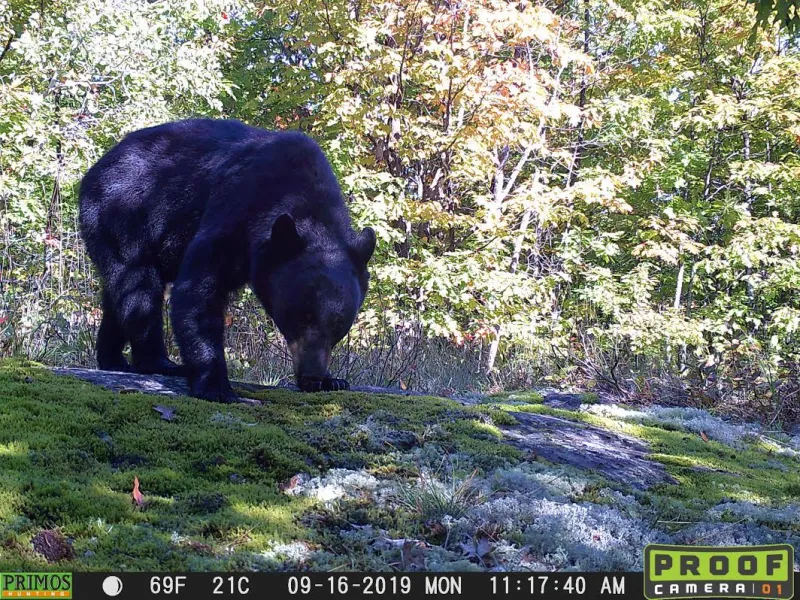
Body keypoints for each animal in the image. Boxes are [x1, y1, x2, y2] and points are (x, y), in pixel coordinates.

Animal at [79, 118, 376, 402]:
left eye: (339, 326)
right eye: (300, 316)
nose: (312, 375)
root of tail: (95, 169)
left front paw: (333, 380)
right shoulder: (236, 208)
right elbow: (199, 288)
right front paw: (215, 386)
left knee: (117, 296)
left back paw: (113, 360)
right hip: (121, 216)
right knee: (138, 288)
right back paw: (158, 362)